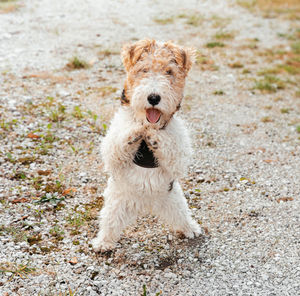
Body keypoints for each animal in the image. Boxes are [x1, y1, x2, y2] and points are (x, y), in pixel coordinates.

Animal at [92, 39, 202, 252]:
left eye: (169, 71)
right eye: (143, 70)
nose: (153, 98)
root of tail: (145, 203)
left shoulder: (179, 152)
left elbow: (169, 147)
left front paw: (154, 138)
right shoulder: (111, 148)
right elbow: (120, 144)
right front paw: (135, 133)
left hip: (175, 200)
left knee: (182, 217)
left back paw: (190, 229)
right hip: (115, 203)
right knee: (109, 225)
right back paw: (103, 243)